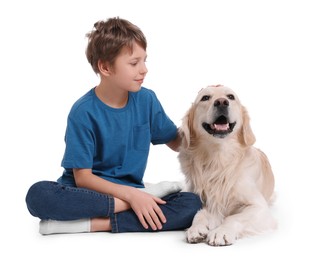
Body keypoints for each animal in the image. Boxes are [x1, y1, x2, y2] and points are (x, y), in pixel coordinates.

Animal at [178, 85, 278, 246]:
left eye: (231, 97)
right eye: (205, 98)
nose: (221, 102)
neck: (218, 159)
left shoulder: (259, 207)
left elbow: (234, 218)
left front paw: (221, 232)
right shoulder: (205, 200)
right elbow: (199, 214)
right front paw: (196, 229)